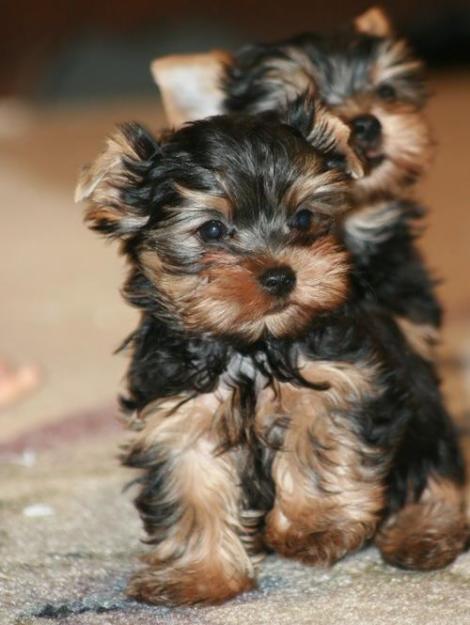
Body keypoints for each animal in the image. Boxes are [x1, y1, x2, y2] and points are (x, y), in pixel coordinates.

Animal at [77, 102, 466, 604]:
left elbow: (317, 441)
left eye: (302, 218)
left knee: (433, 474)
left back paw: (423, 534)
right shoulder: (178, 415)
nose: (281, 275)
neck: (251, 345)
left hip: (424, 417)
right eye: (212, 229)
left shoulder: (344, 379)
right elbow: (193, 487)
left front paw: (315, 526)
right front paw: (198, 575)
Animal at [150, 4, 466, 572]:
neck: (350, 241)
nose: (364, 122)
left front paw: (428, 523)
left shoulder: (408, 343)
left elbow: (427, 443)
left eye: (387, 91)